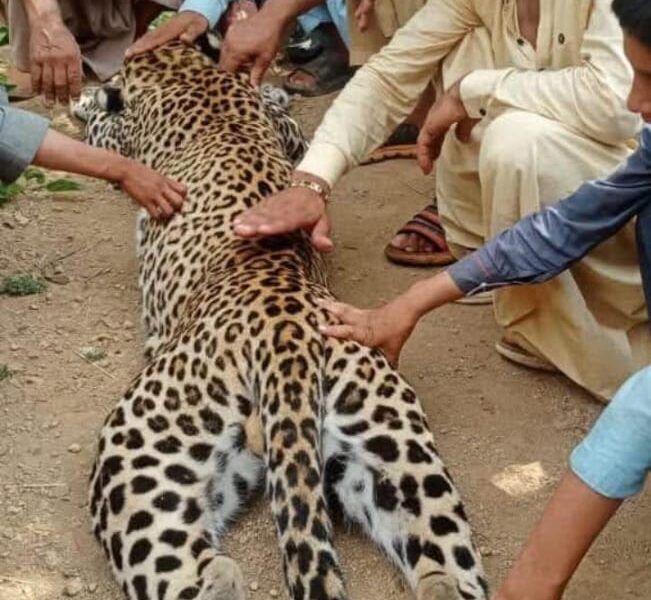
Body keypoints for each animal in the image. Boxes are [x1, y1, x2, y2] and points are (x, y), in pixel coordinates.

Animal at [79, 40, 488, 600]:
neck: (188, 72)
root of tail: (285, 342)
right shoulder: (283, 131)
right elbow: (287, 122)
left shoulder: (123, 138)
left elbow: (100, 127)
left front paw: (83, 100)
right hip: (393, 453)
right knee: (446, 564)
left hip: (140, 454)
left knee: (188, 573)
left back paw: (218, 577)